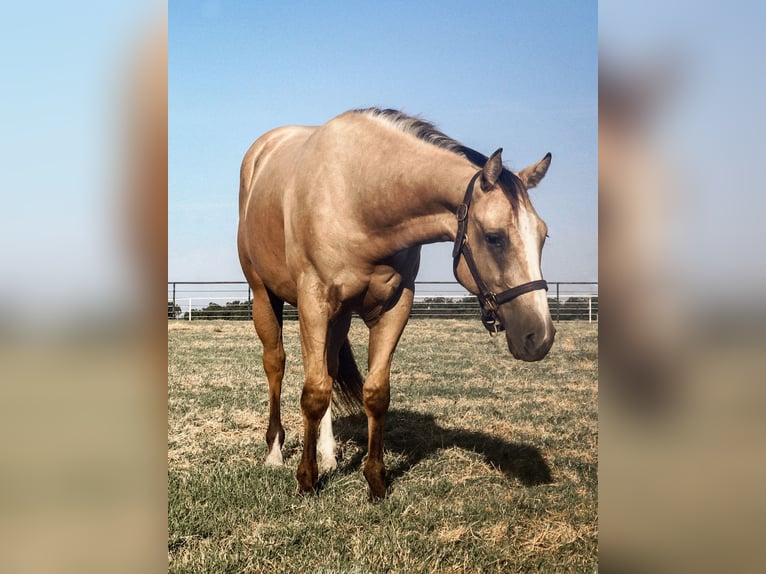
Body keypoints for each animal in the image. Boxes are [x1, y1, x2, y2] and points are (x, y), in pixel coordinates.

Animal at [237, 108, 556, 500]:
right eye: (495, 238)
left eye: (543, 236)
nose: (539, 337)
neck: (361, 197)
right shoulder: (314, 301)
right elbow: (312, 393)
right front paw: (306, 480)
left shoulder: (396, 304)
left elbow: (374, 393)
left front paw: (375, 481)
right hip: (265, 296)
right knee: (276, 365)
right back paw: (275, 452)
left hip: (339, 316)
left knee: (327, 369)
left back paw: (329, 456)